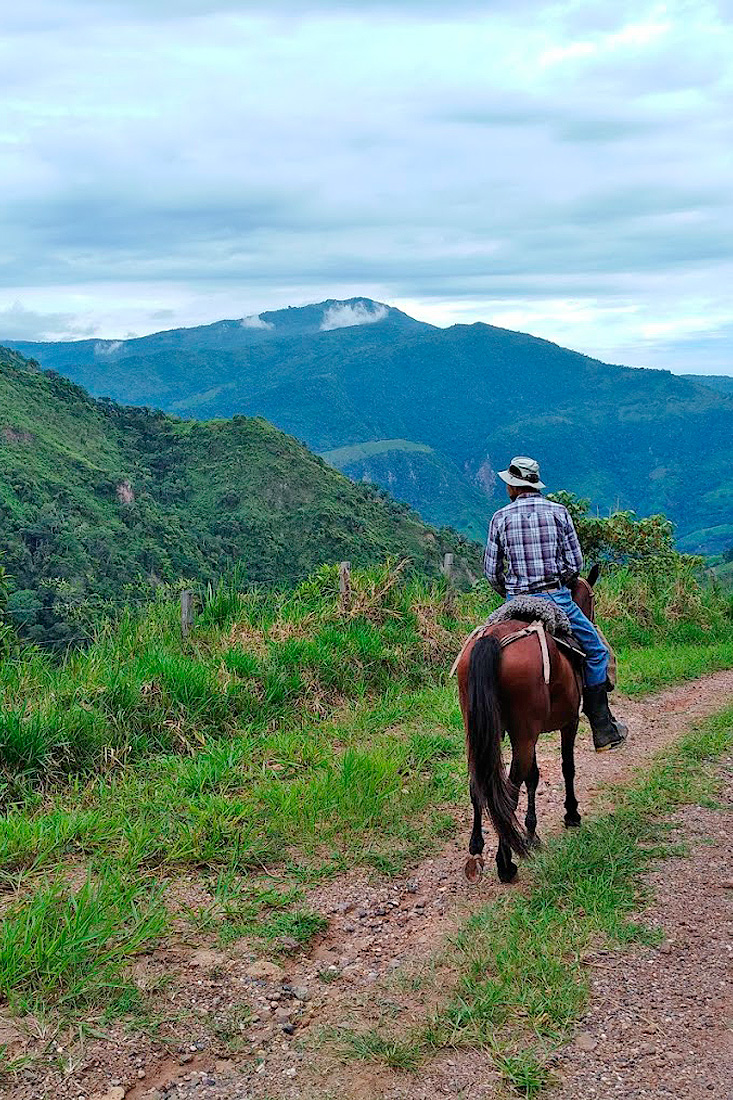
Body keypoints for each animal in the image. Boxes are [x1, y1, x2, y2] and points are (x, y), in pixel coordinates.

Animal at [457, 567, 598, 884]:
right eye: (592, 598)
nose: (593, 621)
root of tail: (492, 639)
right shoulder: (568, 722)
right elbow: (567, 767)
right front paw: (571, 814)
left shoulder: (526, 733)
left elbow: (533, 776)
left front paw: (532, 832)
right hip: (524, 732)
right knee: (508, 793)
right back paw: (505, 862)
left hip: (483, 730)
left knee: (480, 784)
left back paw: (477, 850)